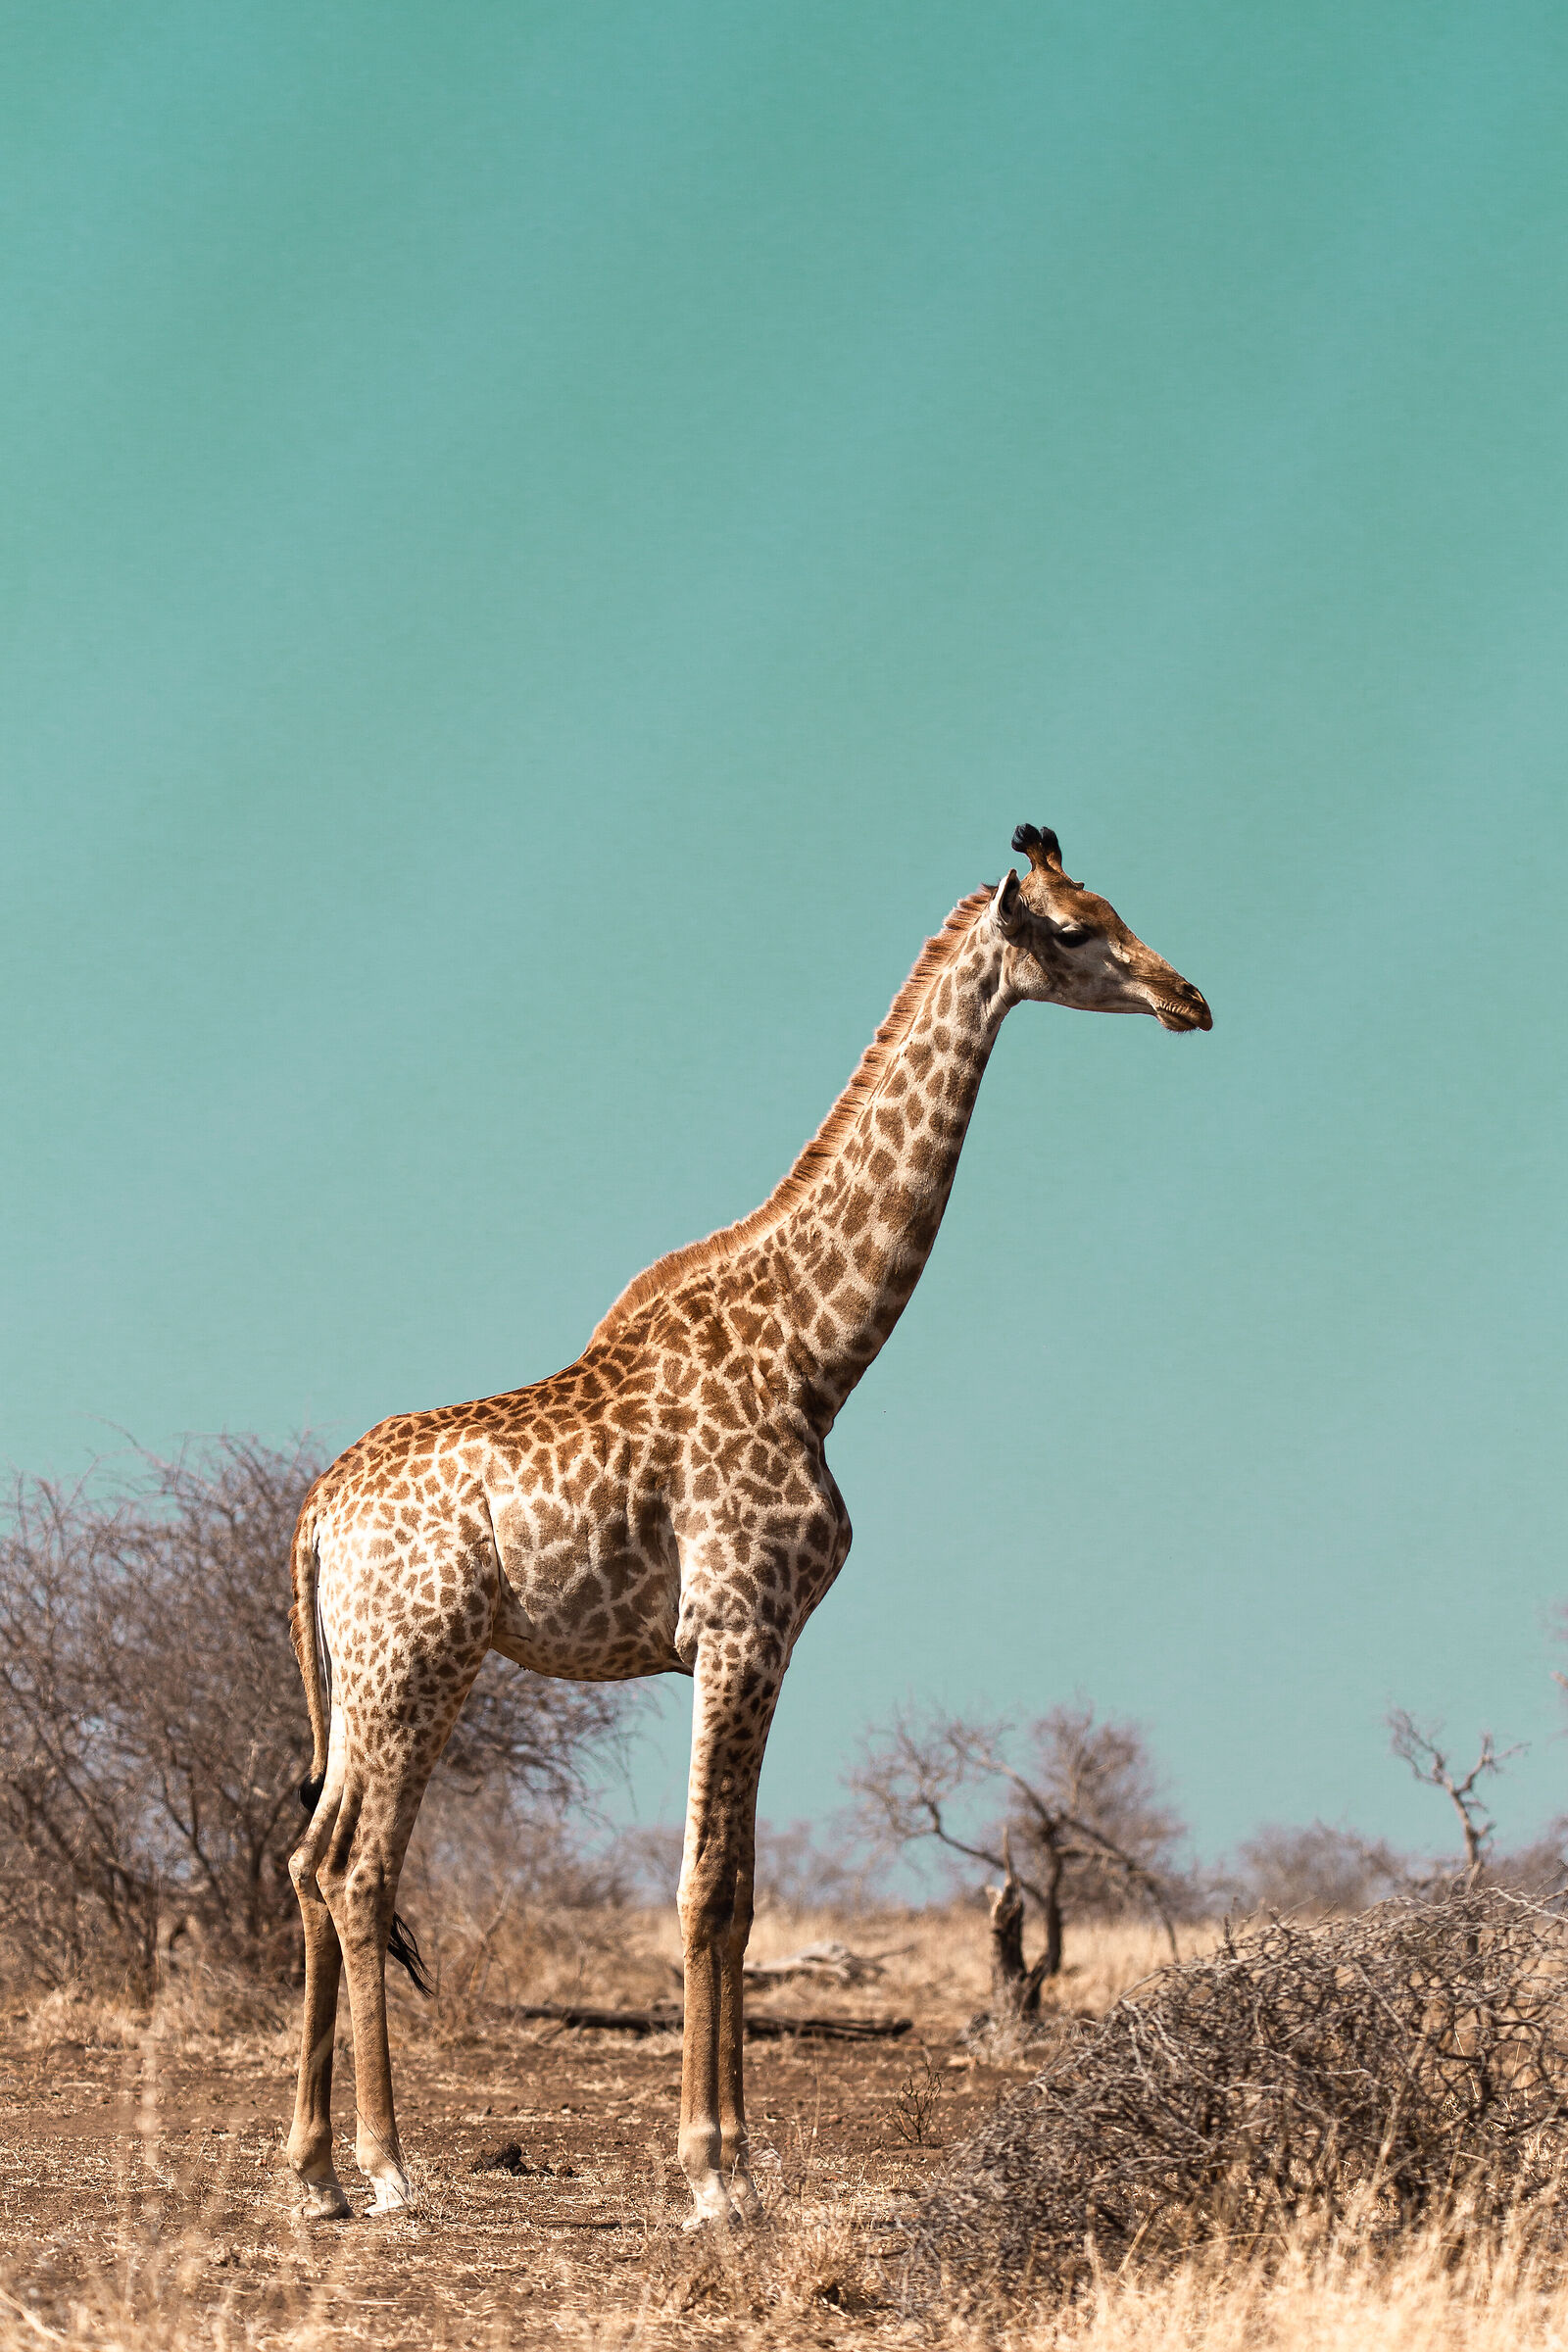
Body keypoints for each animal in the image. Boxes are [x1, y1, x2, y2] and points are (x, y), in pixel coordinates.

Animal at [285, 823, 1211, 2226]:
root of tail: (315, 1516)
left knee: (309, 1856)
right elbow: (707, 1885)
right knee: (355, 1868)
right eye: (1071, 928)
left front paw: (732, 2166)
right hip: (419, 1661)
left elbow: (743, 1889)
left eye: (1114, 907)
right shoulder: (737, 1623)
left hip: (370, 1674)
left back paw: (312, 2174)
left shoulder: (770, 1639)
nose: (1187, 996)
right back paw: (388, 2169)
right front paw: (712, 2176)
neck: (815, 1357)